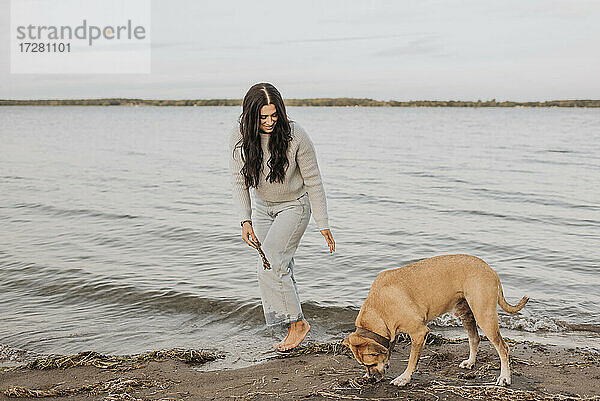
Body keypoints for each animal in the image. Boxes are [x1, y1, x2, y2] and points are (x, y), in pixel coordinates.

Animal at [342, 255, 528, 386]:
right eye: (364, 365)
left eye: (371, 363)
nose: (371, 379)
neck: (379, 308)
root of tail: (491, 270)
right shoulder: (391, 335)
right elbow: (389, 350)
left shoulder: (419, 333)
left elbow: (412, 360)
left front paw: (404, 378)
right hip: (466, 314)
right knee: (474, 338)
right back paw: (471, 362)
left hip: (484, 316)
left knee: (503, 348)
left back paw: (504, 377)